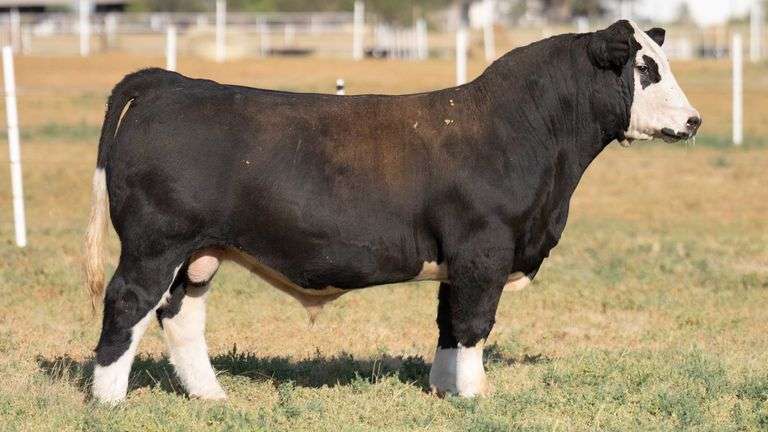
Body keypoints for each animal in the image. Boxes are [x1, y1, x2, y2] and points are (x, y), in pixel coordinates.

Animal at [84, 20, 700, 404]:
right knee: (128, 304)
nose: (693, 121)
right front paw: (475, 396)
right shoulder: (484, 250)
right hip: (155, 245)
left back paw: (211, 396)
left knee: (180, 315)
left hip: (200, 252)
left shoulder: (459, 261)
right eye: (645, 69)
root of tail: (172, 82)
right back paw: (110, 402)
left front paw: (445, 390)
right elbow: (474, 325)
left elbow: (449, 324)